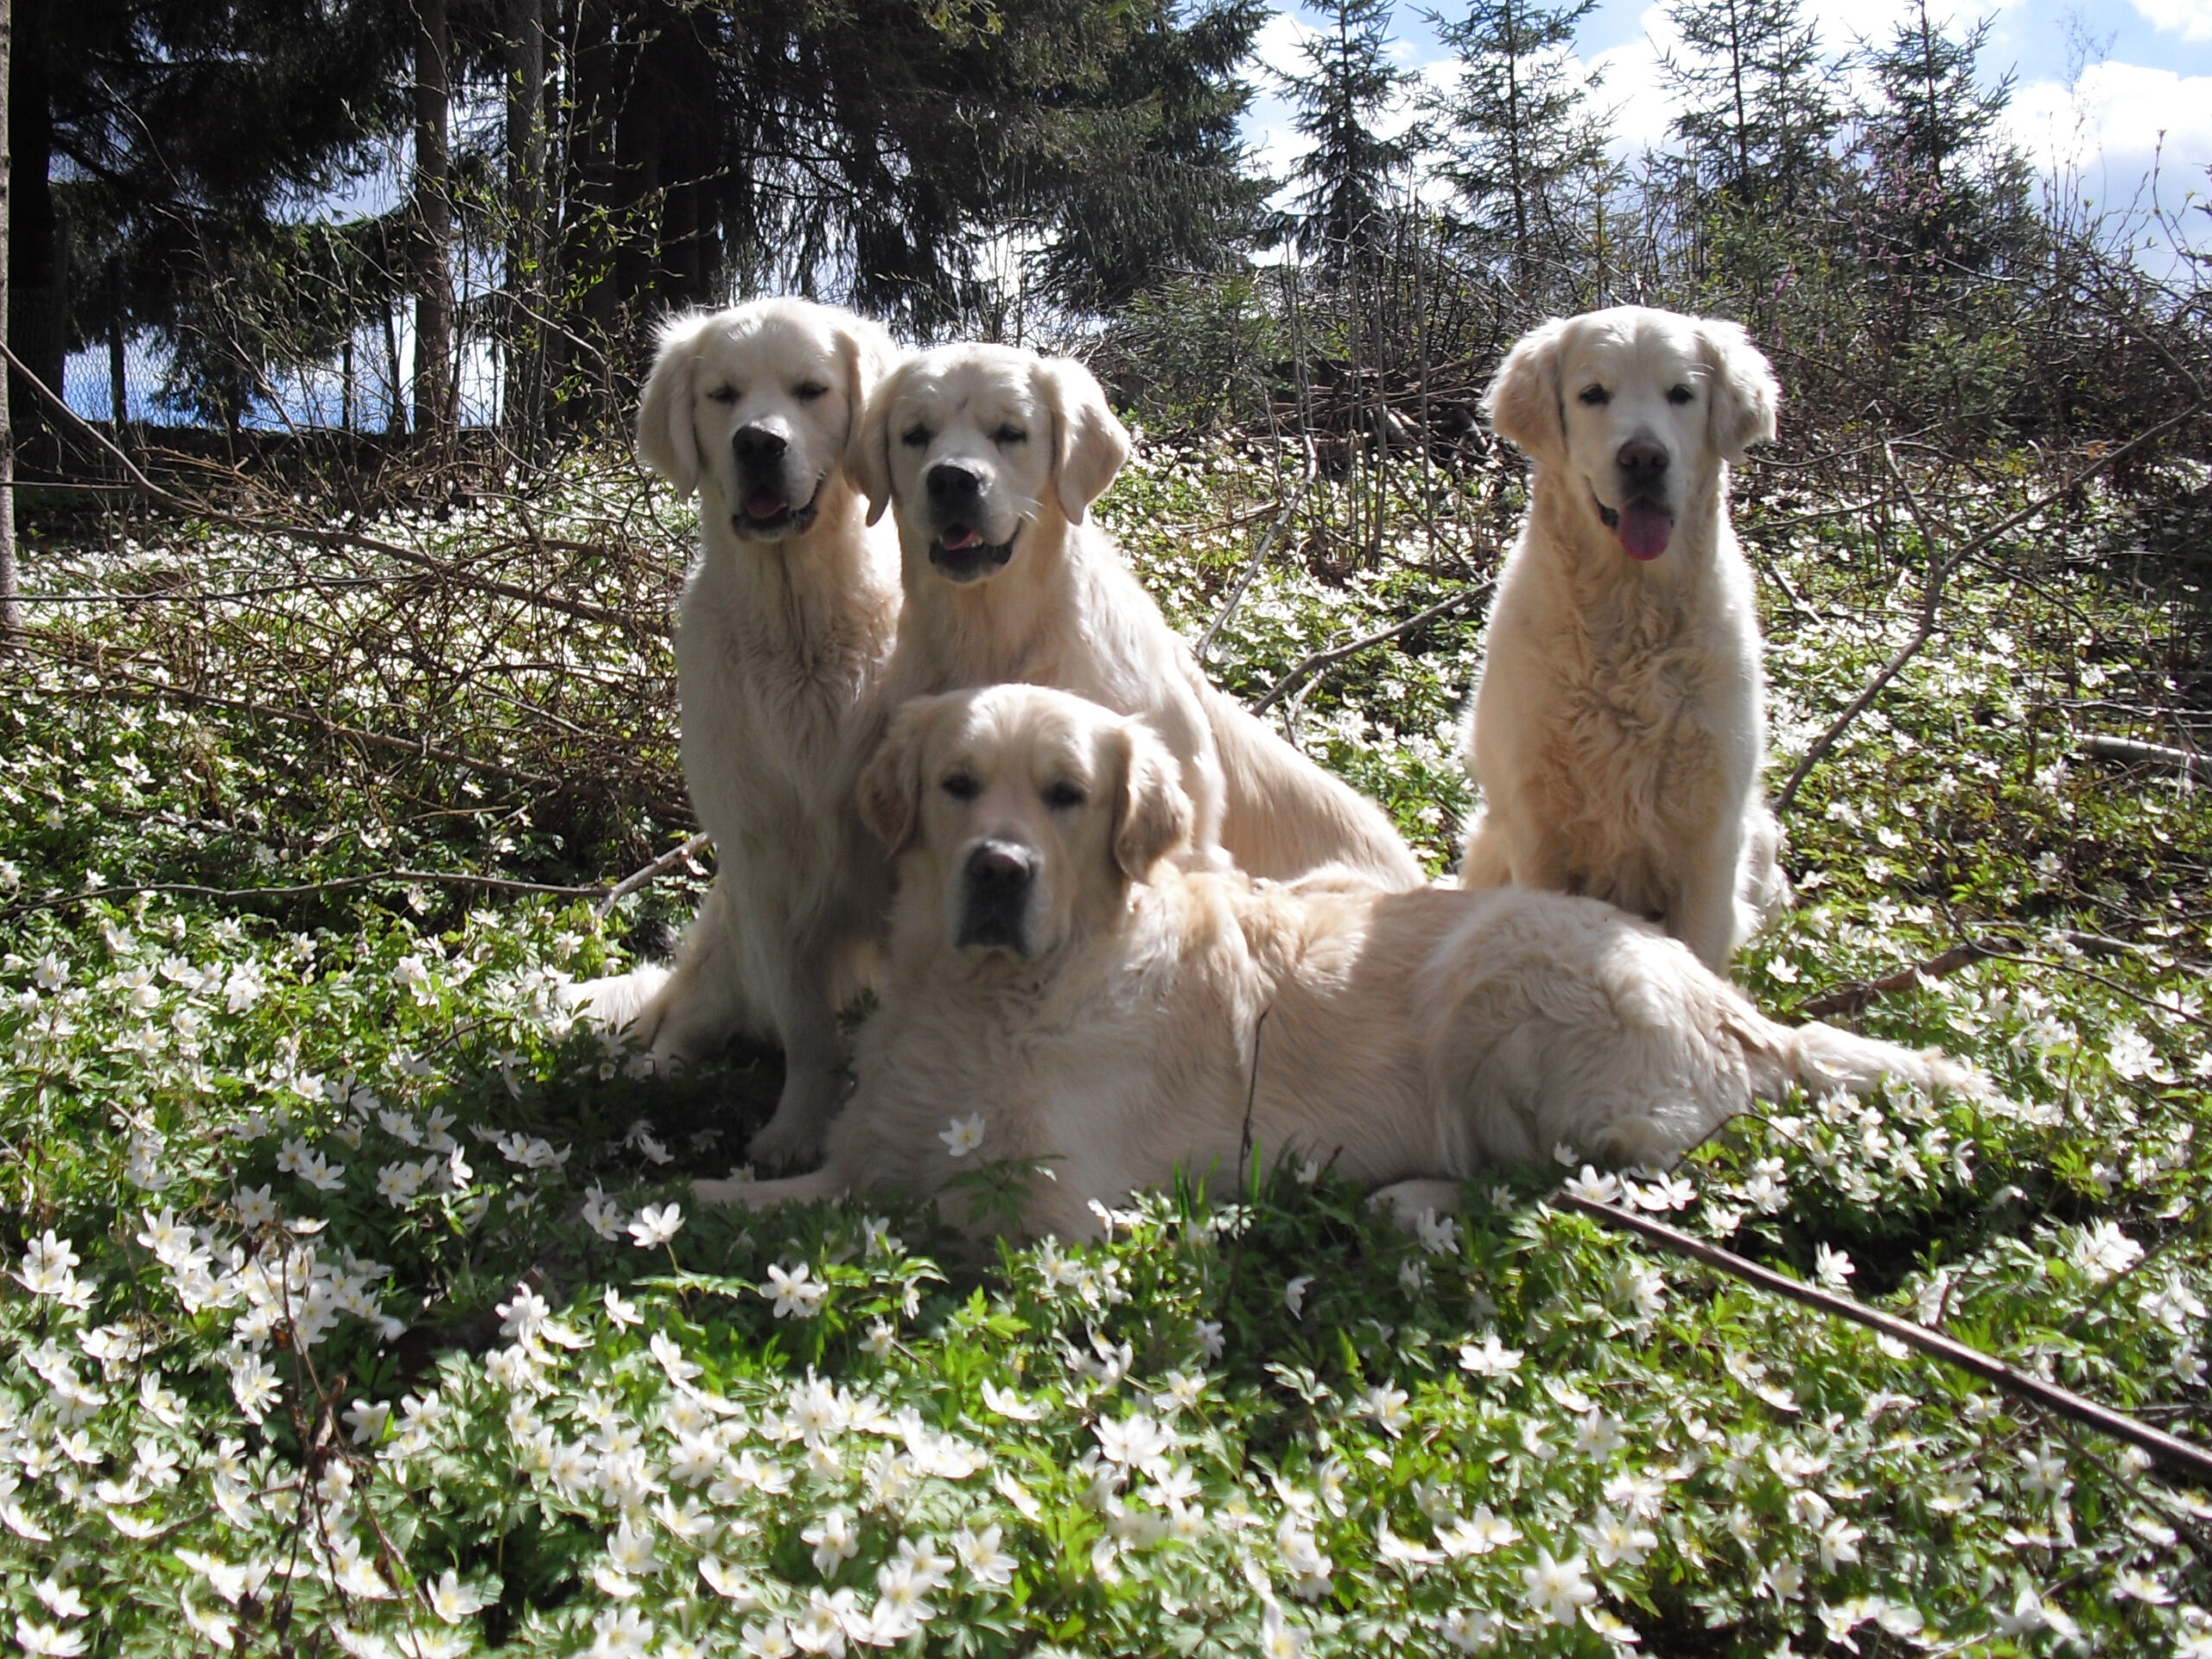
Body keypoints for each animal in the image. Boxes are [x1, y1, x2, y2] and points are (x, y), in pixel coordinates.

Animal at [573, 298, 901, 1168]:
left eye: (811, 389)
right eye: (722, 394)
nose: (757, 443)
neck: (798, 631)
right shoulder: (761, 862)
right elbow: (807, 1030)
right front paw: (794, 1134)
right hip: (728, 942)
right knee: (683, 1024)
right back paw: (665, 1075)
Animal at [697, 685, 1980, 1236]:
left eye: (1066, 796)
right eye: (957, 784)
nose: (1000, 870)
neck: (996, 993)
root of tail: (1744, 1013)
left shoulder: (1064, 1199)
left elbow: (935, 1212)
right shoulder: (874, 1145)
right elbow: (751, 1195)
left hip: (1500, 975)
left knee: (1596, 1183)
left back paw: (1410, 1197)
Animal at [1459, 306, 1789, 972]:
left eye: (1681, 394)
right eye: (1593, 394)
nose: (1643, 459)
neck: (1630, 613)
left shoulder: (1710, 839)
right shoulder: (1537, 828)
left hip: (1761, 842)